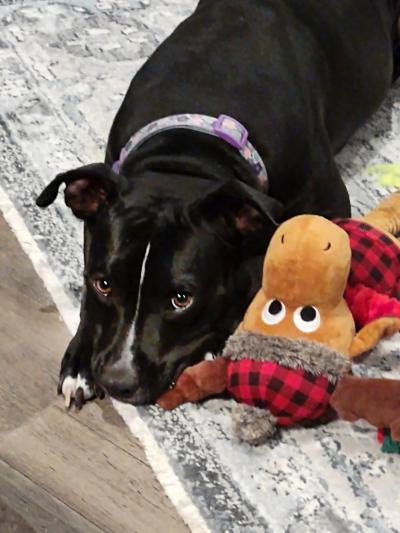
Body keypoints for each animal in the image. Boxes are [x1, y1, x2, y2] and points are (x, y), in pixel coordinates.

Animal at [36, 0, 398, 406]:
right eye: (103, 284)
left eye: (182, 299)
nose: (117, 382)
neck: (189, 150)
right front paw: (80, 359)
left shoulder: (327, 215)